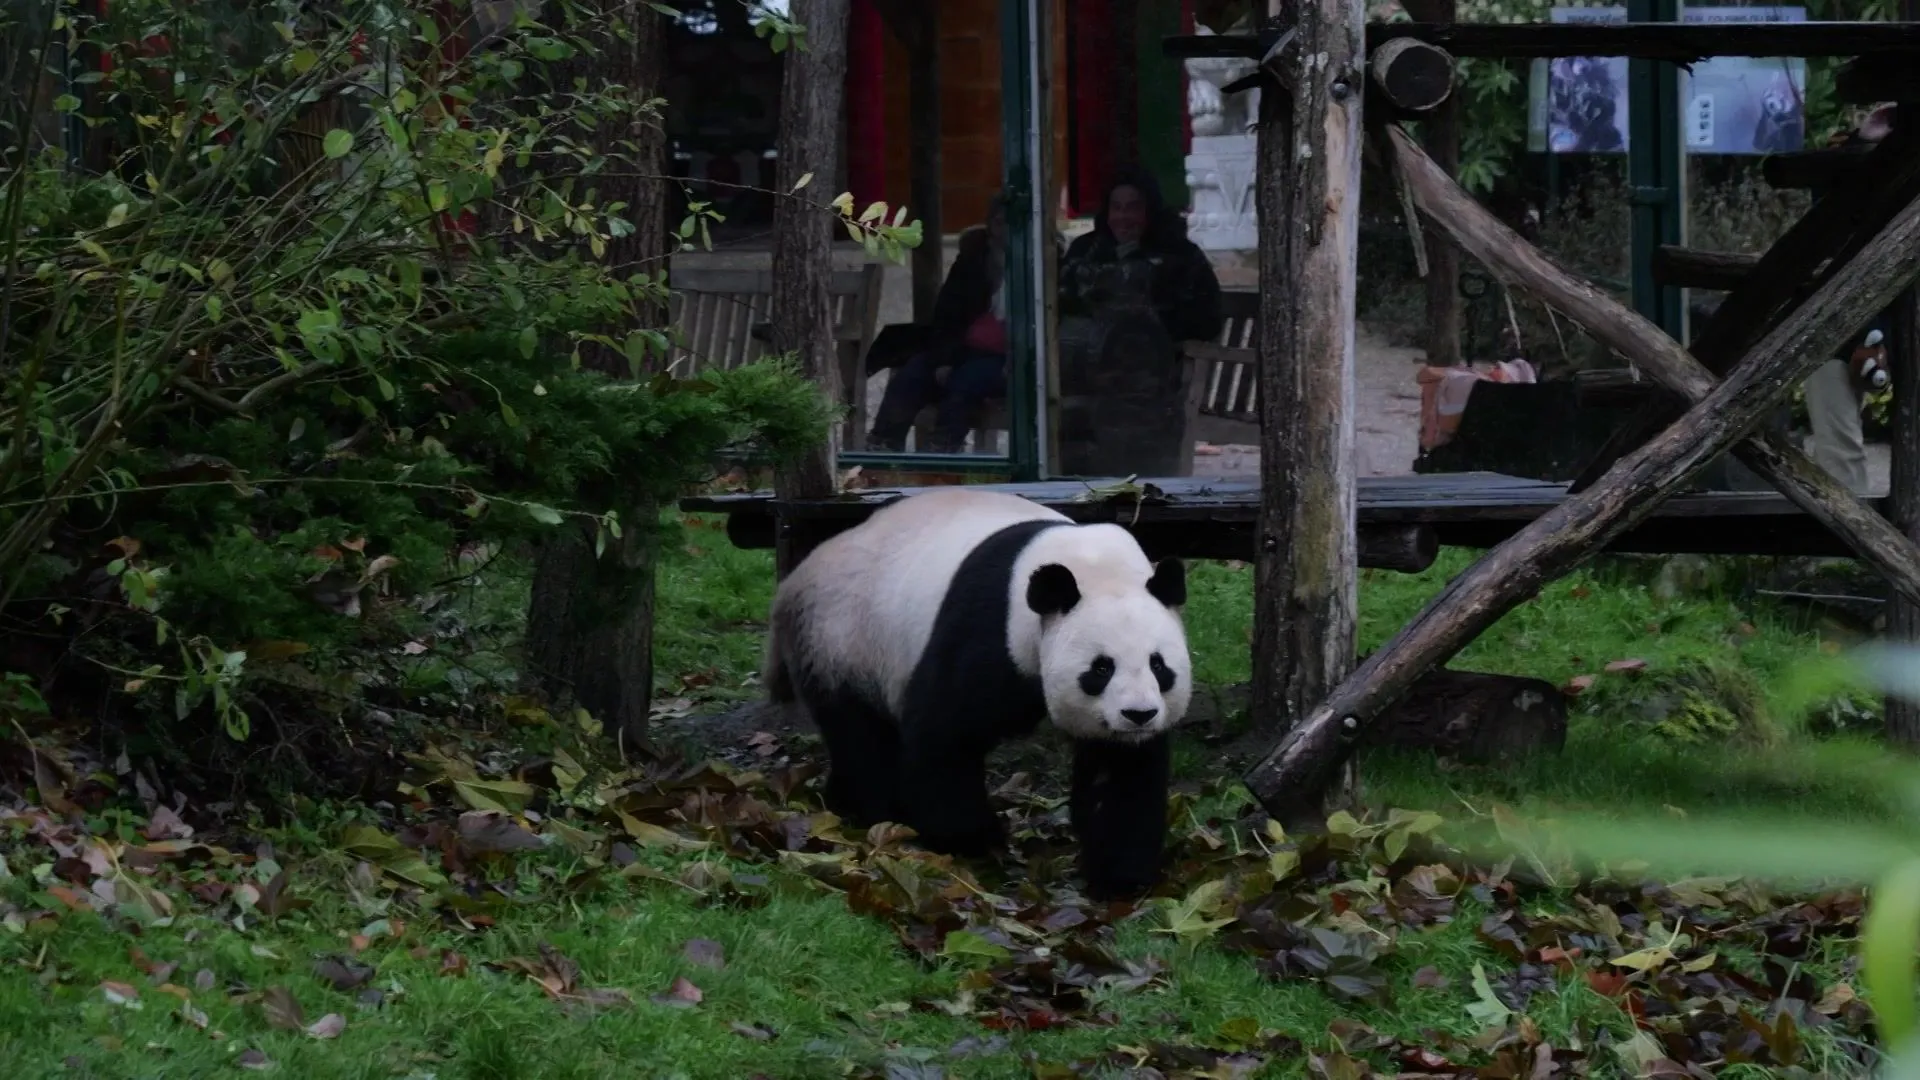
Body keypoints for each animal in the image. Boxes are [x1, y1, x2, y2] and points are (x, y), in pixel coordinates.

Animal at [762, 487, 1192, 899]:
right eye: (1101, 668)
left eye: (1158, 666)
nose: (1139, 714)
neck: (1092, 566)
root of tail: (795, 581)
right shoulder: (989, 627)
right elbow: (945, 733)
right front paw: (972, 839)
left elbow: (1121, 773)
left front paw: (1121, 878)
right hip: (842, 640)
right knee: (861, 736)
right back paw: (872, 808)